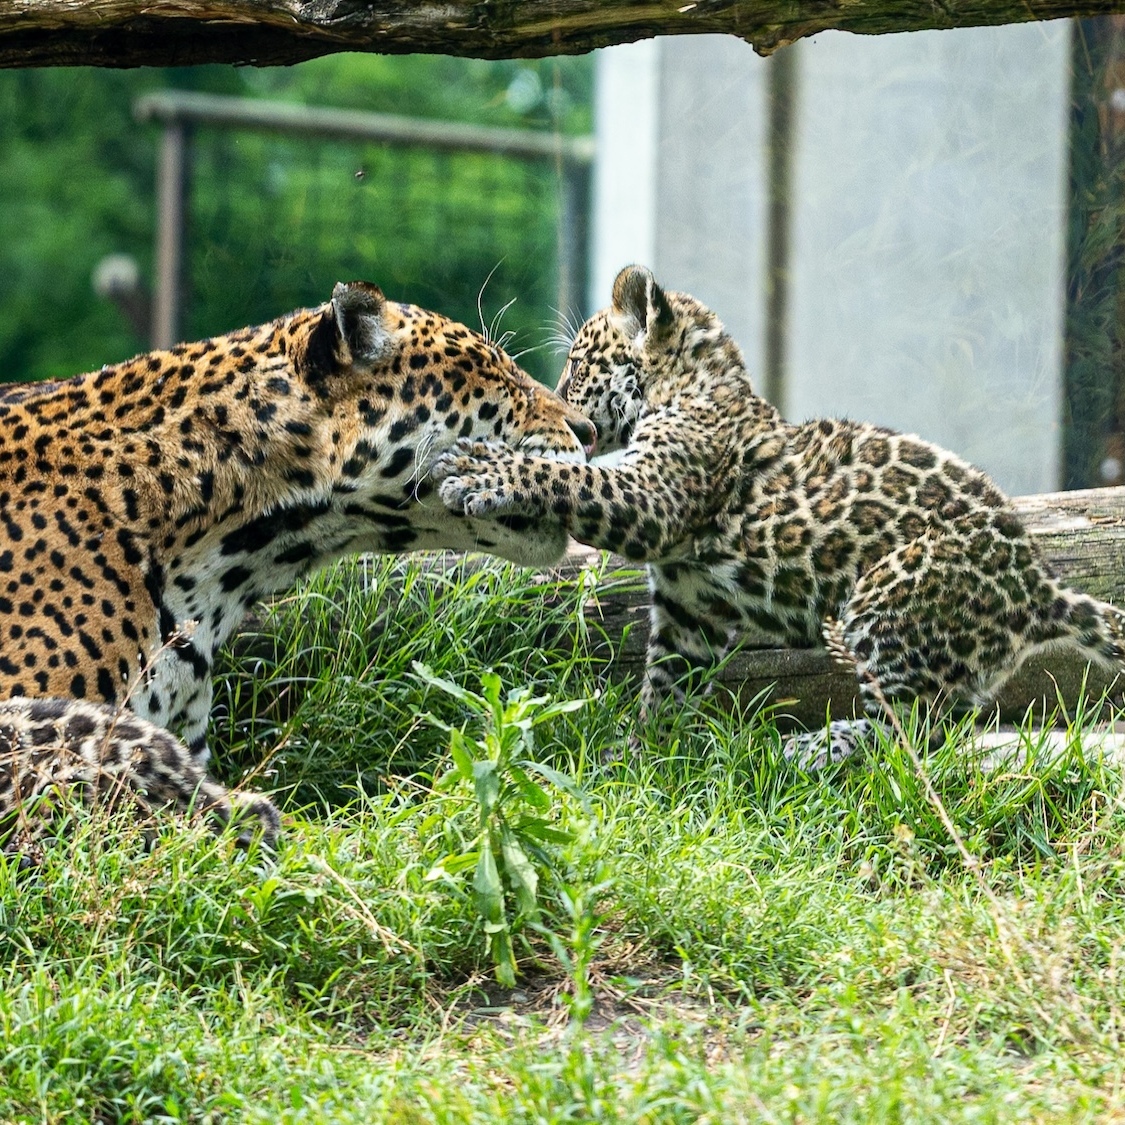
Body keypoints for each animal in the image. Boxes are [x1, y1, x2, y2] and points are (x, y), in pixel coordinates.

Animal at [436, 264, 1125, 763]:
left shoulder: (652, 495)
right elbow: (667, 681)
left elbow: (570, 477)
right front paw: (640, 753)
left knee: (910, 733)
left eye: (579, 366)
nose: (571, 418)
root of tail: (1042, 587)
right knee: (939, 727)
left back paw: (814, 749)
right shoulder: (689, 605)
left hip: (886, 598)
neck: (693, 387)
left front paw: (481, 470)